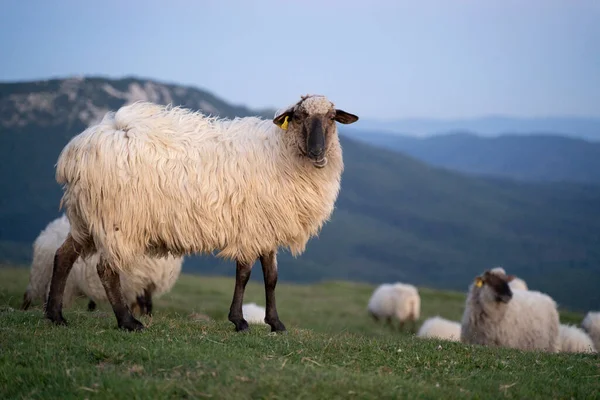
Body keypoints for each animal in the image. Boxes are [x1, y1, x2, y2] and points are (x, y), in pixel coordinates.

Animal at [21, 214, 183, 314]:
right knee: (31, 295)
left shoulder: (146, 284)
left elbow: (145, 305)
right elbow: (144, 304)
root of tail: (48, 230)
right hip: (42, 274)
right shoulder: (136, 282)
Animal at [45, 94, 360, 332]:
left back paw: (55, 316)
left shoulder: (266, 227)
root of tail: (76, 151)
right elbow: (244, 274)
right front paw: (239, 321)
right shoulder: (249, 226)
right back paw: (128, 322)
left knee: (63, 256)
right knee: (106, 269)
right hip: (117, 220)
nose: (317, 151)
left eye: (331, 117)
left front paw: (276, 324)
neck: (280, 152)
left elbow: (271, 278)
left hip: (85, 218)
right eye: (298, 116)